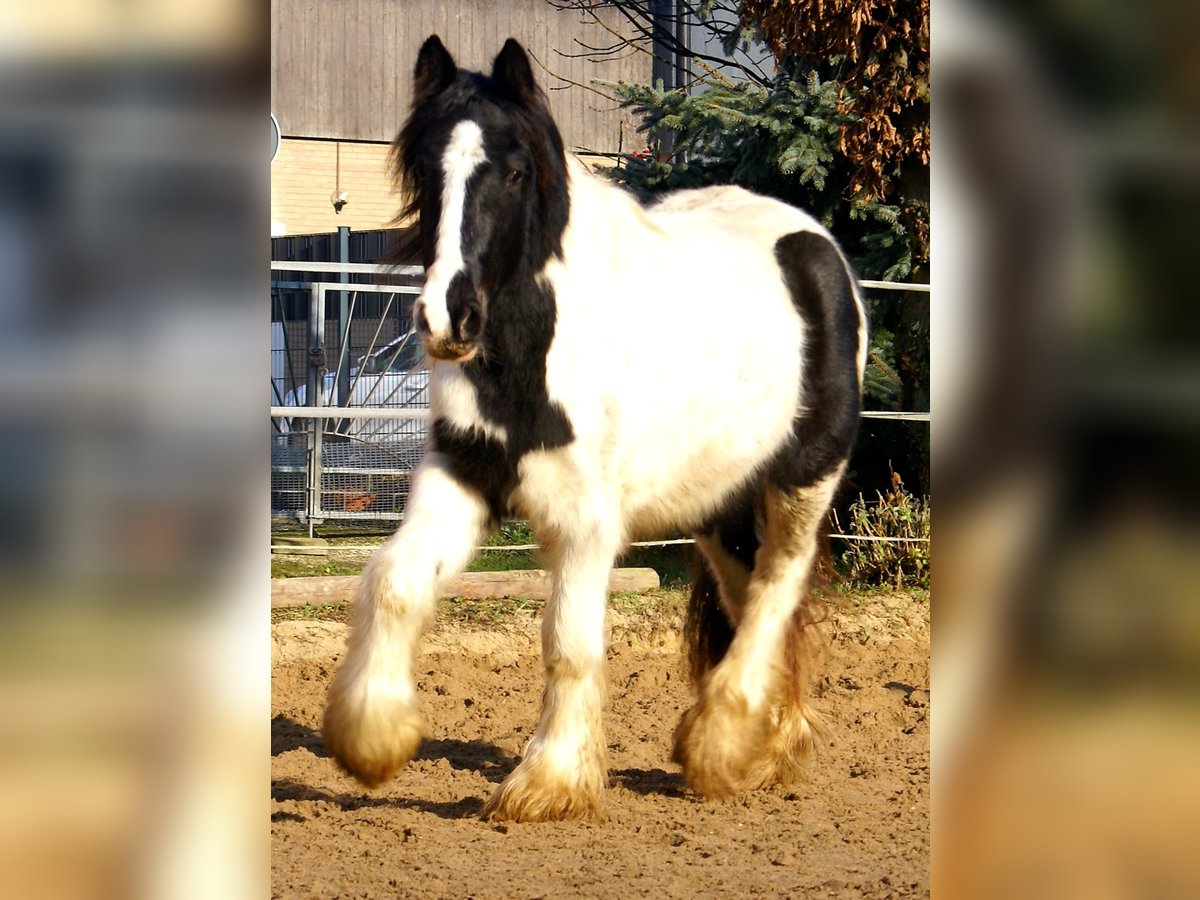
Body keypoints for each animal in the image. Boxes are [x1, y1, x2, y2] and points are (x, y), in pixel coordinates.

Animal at [324, 35, 868, 825]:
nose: (447, 318)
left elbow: (568, 641)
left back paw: (718, 744)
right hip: (718, 503)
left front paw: (549, 781)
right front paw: (370, 740)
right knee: (752, 597)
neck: (538, 352)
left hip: (803, 479)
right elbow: (392, 581)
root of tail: (818, 248)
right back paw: (772, 745)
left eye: (516, 170)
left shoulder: (587, 518)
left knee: (779, 586)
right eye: (425, 167)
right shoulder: (465, 473)